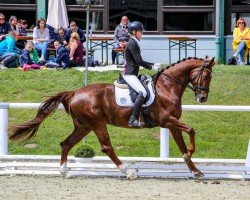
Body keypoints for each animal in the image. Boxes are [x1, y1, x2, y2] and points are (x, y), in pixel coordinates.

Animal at [8, 57, 215, 179]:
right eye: (205, 75)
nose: (202, 98)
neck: (167, 87)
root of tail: (74, 93)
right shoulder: (166, 120)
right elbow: (191, 130)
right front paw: (191, 152)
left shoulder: (172, 124)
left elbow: (182, 144)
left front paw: (195, 169)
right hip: (97, 123)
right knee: (106, 147)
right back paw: (128, 171)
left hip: (83, 126)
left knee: (66, 143)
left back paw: (64, 171)